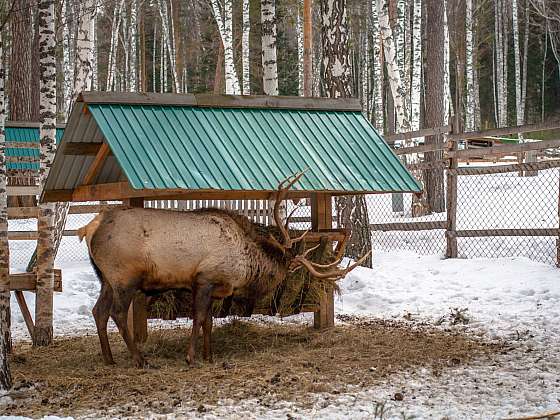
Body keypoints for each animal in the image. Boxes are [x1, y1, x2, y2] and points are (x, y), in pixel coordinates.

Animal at [77, 172, 368, 366]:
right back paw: (140, 359)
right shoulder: (204, 280)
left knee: (98, 311)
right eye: (289, 268)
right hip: (124, 277)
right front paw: (191, 357)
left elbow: (207, 322)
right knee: (115, 312)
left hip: (106, 279)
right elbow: (198, 318)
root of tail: (90, 228)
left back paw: (109, 359)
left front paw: (209, 355)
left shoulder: (214, 288)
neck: (244, 267)